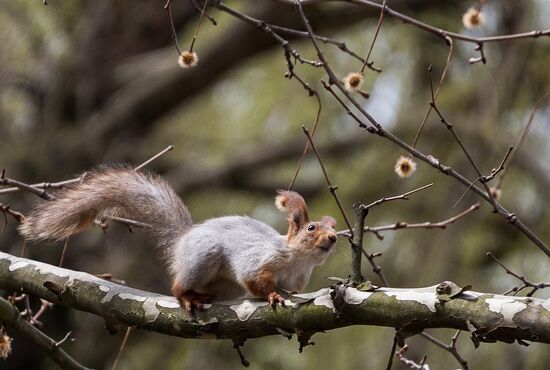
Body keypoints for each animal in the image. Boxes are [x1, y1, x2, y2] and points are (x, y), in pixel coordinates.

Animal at [19, 168, 338, 312]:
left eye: (331, 227)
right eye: (311, 228)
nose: (334, 238)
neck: (298, 261)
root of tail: (184, 238)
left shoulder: (298, 281)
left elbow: (291, 290)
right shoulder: (262, 259)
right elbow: (256, 279)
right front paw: (272, 295)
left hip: (224, 285)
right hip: (204, 256)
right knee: (176, 287)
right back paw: (187, 297)